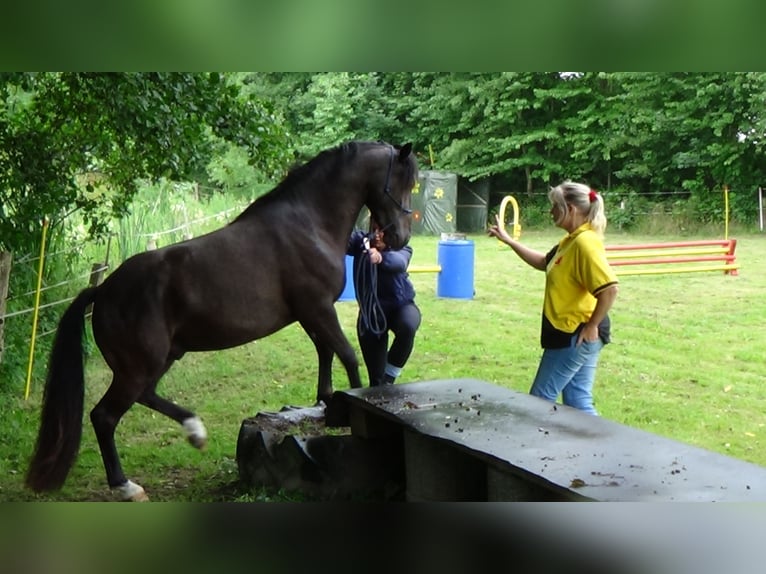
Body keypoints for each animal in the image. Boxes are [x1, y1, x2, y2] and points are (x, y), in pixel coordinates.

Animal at [27, 142, 416, 502]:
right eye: (402, 181)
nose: (399, 238)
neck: (308, 224)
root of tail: (104, 290)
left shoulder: (310, 315)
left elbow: (326, 353)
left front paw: (325, 402)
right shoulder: (318, 309)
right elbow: (347, 355)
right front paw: (351, 411)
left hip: (161, 358)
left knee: (146, 396)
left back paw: (194, 431)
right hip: (138, 367)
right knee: (104, 416)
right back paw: (126, 486)